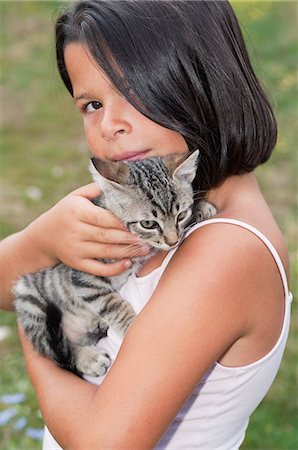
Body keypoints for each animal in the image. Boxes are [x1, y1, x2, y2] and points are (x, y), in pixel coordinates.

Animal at [14, 151, 215, 376]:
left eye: (181, 215)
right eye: (148, 224)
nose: (173, 242)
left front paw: (200, 208)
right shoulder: (83, 275)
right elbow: (112, 304)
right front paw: (132, 326)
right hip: (28, 299)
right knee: (53, 351)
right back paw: (87, 357)